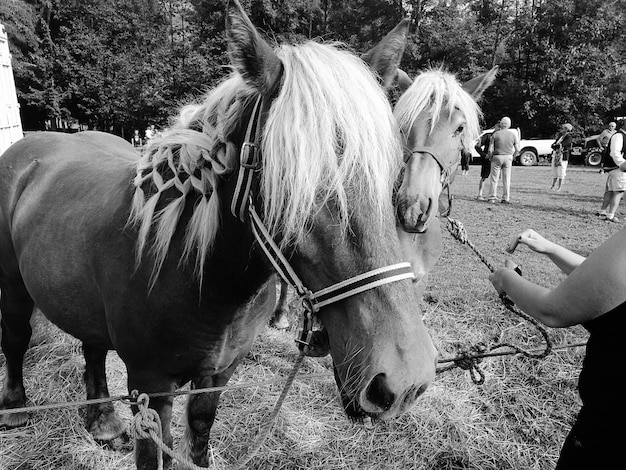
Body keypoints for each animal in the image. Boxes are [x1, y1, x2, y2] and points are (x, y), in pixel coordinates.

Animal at [0, 1, 434, 468]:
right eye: (292, 184)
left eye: (394, 176)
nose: (404, 378)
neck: (196, 273)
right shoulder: (150, 386)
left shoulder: (219, 374)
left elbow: (200, 431)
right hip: (12, 287)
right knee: (16, 339)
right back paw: (15, 408)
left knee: (92, 347)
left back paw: (103, 423)